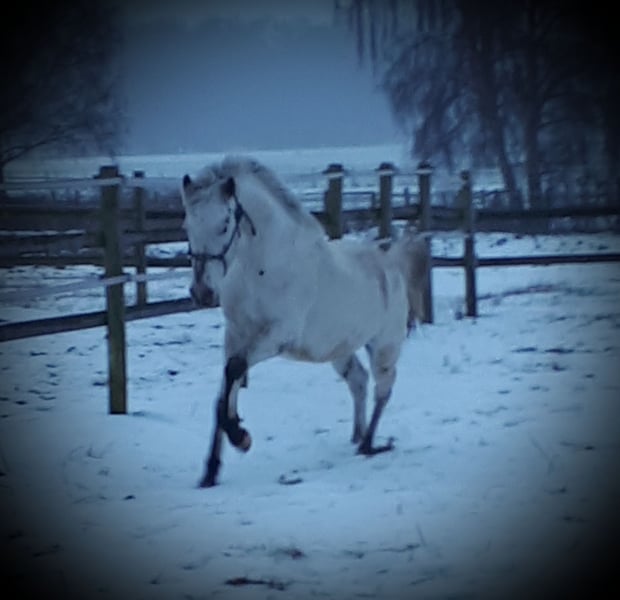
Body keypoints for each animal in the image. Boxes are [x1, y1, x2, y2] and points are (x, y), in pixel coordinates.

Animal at [181, 156, 430, 487]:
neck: (261, 267)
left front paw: (241, 437)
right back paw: (357, 435)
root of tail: (391, 263)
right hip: (340, 348)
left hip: (384, 346)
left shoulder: (277, 335)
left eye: (223, 224)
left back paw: (368, 444)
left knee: (383, 388)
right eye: (187, 226)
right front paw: (210, 471)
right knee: (359, 380)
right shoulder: (234, 335)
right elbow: (223, 394)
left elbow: (234, 371)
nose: (202, 293)